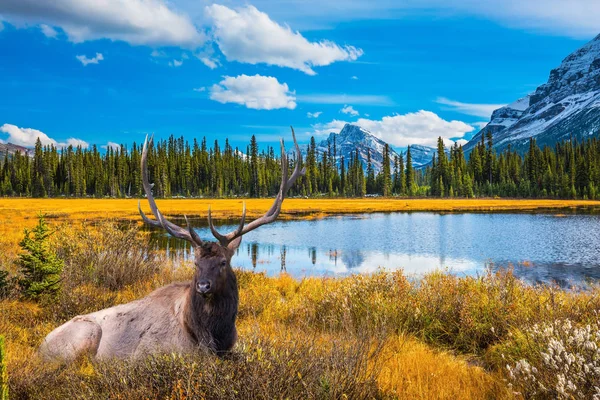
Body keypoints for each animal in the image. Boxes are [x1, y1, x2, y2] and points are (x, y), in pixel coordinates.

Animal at [38, 130, 304, 360]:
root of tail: (40, 347)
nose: (203, 286)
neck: (210, 335)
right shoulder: (145, 354)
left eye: (223, 262)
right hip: (85, 335)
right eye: (195, 262)